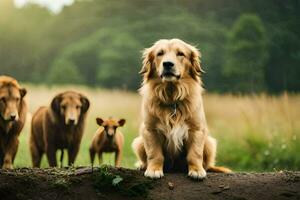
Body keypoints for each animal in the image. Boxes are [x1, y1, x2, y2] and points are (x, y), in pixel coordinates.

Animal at [132, 39, 232, 180]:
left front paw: (196, 170)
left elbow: (195, 154)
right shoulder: (150, 130)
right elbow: (154, 154)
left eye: (180, 53)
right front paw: (154, 170)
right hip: (139, 142)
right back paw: (142, 165)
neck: (172, 97)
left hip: (209, 143)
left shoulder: (196, 130)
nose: (168, 64)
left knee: (206, 163)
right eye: (160, 53)